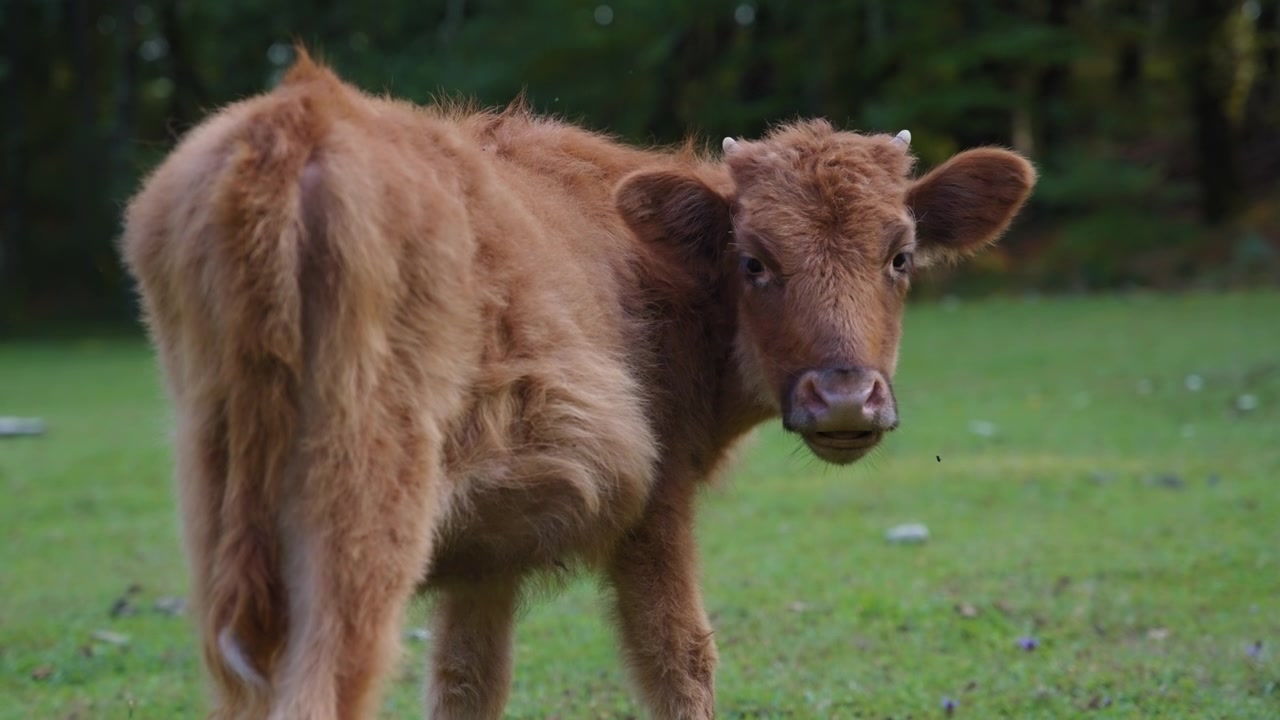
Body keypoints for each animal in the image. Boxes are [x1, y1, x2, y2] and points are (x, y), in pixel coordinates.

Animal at [121, 51, 1034, 720]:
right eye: (754, 260)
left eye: (900, 255)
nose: (844, 396)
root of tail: (295, 123)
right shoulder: (656, 512)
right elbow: (680, 658)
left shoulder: (484, 561)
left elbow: (466, 684)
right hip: (357, 526)